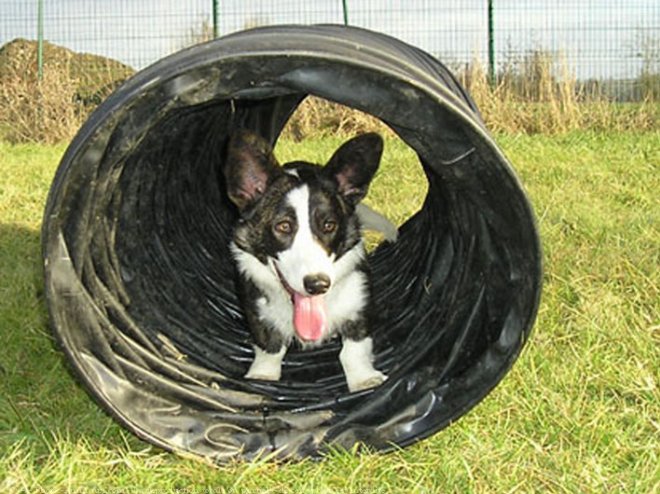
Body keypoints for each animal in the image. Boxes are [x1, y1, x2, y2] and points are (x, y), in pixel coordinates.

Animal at [224, 129, 394, 392]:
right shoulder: (257, 311)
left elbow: (353, 350)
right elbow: (269, 348)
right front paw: (262, 377)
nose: (318, 285)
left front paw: (364, 379)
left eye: (329, 225)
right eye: (283, 226)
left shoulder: (359, 305)